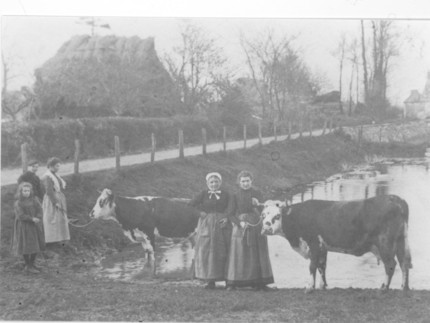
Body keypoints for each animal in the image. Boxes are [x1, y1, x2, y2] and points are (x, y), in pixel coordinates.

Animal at [260, 195, 412, 294]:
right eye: (263, 215)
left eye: (277, 216)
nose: (266, 229)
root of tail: (396, 199)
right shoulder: (322, 248)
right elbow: (321, 266)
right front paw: (322, 286)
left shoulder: (314, 245)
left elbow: (312, 266)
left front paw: (309, 287)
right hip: (400, 241)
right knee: (404, 263)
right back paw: (404, 287)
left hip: (385, 243)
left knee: (391, 264)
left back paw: (384, 287)